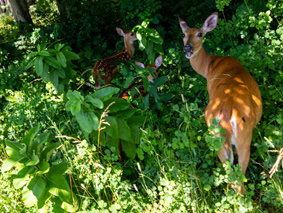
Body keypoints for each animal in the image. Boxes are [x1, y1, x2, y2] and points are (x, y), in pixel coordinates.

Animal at [180, 12, 264, 195]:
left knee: (230, 174)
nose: (187, 49)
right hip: (243, 138)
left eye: (200, 34)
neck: (209, 67)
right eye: (183, 34)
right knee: (238, 180)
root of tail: (226, 115)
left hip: (215, 135)